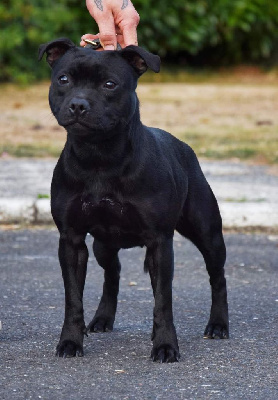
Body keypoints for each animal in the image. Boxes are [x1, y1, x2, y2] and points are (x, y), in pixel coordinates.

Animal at [38, 38, 228, 362]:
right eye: (63, 80)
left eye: (109, 84)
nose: (78, 104)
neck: (99, 157)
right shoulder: (71, 240)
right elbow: (73, 298)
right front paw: (71, 341)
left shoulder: (160, 242)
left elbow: (163, 299)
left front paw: (165, 345)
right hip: (103, 244)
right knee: (112, 273)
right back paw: (102, 318)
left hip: (208, 233)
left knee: (218, 277)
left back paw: (218, 325)